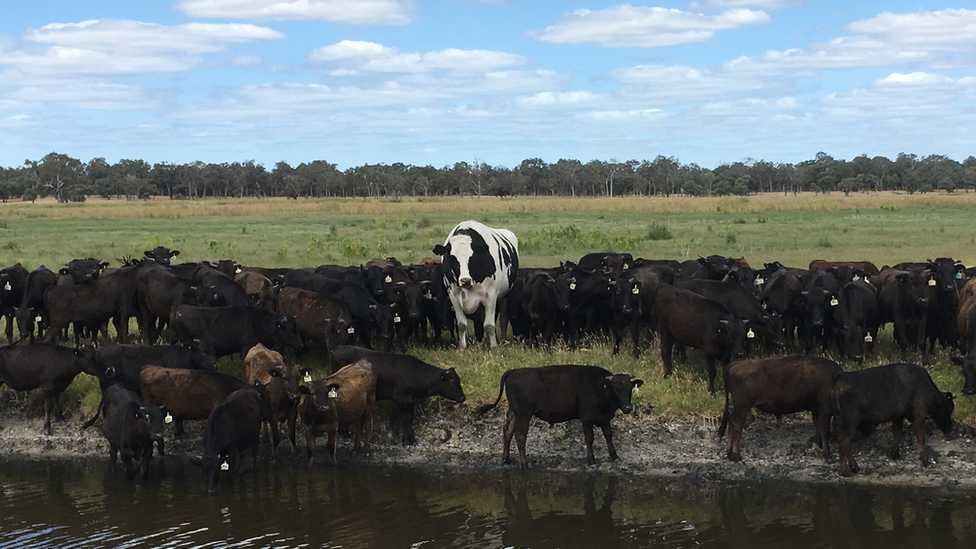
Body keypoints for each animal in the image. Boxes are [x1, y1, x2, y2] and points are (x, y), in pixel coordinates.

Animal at [328, 346, 466, 446]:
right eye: (452, 382)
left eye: (459, 380)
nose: (463, 398)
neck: (415, 373)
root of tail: (337, 349)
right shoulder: (400, 399)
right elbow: (404, 420)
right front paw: (406, 441)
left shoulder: (411, 401)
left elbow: (409, 420)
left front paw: (411, 439)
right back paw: (345, 434)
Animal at [478, 364, 644, 466]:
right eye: (615, 389)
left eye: (630, 388)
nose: (628, 407)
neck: (600, 388)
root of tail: (513, 371)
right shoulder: (587, 418)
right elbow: (589, 438)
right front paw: (591, 460)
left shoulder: (604, 419)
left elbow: (608, 435)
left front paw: (614, 456)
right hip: (524, 413)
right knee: (520, 436)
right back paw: (525, 464)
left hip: (514, 412)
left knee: (507, 431)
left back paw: (506, 459)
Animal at [712, 356, 844, 462]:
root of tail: (734, 365)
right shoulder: (824, 410)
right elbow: (824, 431)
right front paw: (828, 457)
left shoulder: (816, 410)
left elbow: (818, 429)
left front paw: (820, 445)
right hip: (742, 407)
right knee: (736, 425)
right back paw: (736, 456)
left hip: (739, 407)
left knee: (731, 421)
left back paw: (729, 452)